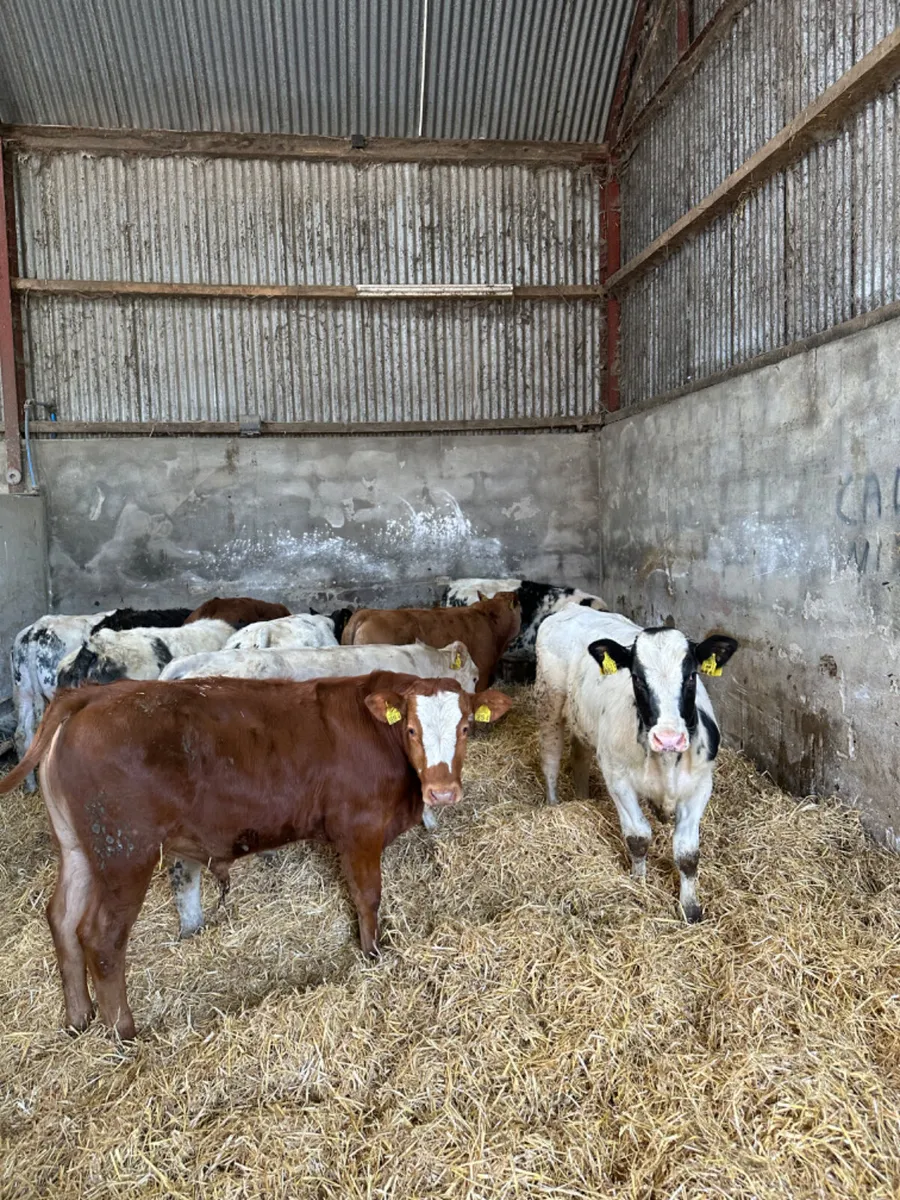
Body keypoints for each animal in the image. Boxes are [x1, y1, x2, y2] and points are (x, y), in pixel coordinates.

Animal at [0, 672, 512, 1038]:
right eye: (410, 728)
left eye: (466, 727)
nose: (442, 791)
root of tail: (93, 695)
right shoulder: (360, 831)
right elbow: (368, 897)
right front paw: (372, 954)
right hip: (124, 854)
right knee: (101, 937)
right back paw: (124, 1034)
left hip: (77, 850)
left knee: (61, 918)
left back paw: (78, 1018)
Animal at [535, 607, 738, 923]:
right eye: (637, 678)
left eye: (691, 676)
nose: (668, 738)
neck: (665, 761)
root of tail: (573, 609)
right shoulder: (618, 780)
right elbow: (639, 837)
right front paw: (639, 884)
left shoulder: (700, 786)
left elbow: (687, 853)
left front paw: (690, 908)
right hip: (549, 703)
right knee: (551, 758)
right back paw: (554, 804)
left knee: (579, 756)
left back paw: (581, 796)